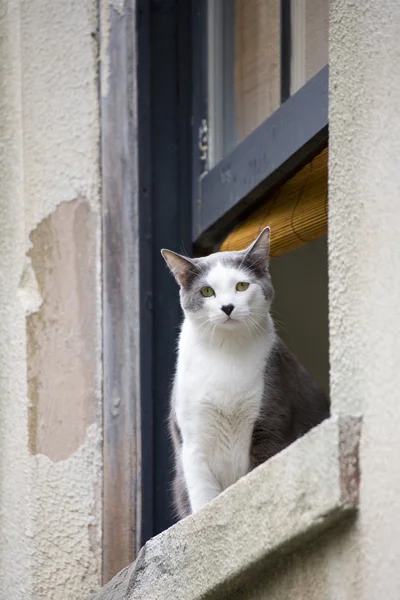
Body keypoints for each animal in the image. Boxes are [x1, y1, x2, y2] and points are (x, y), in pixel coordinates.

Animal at [161, 226, 330, 520]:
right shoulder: (193, 438)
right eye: (207, 291)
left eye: (241, 285)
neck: (226, 354)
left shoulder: (271, 418)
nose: (227, 307)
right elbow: (202, 495)